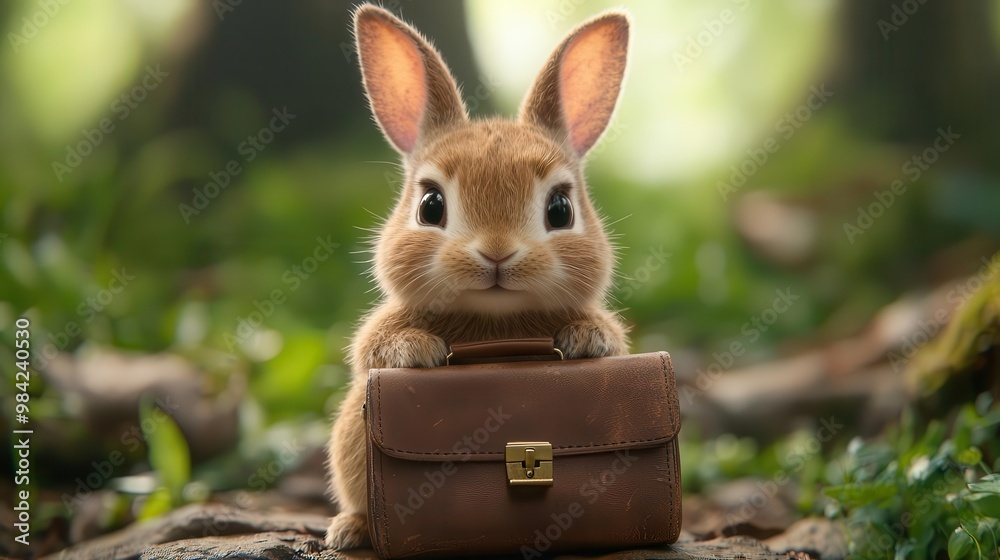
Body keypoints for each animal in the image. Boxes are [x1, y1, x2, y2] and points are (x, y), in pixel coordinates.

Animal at [325, 4, 632, 550]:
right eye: (430, 206)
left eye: (560, 209)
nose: (496, 252)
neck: (495, 320)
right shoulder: (370, 345)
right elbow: (374, 349)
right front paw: (419, 350)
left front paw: (586, 340)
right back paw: (350, 531)